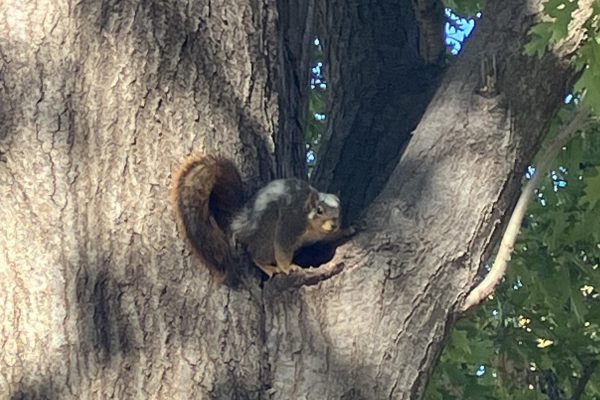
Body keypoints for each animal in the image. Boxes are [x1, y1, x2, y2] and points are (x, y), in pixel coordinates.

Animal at [171, 155, 344, 282]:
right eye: (319, 211)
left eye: (339, 211)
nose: (334, 225)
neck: (313, 227)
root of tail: (238, 221)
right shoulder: (291, 222)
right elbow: (283, 248)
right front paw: (288, 268)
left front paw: (346, 231)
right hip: (266, 229)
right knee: (254, 254)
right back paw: (269, 267)